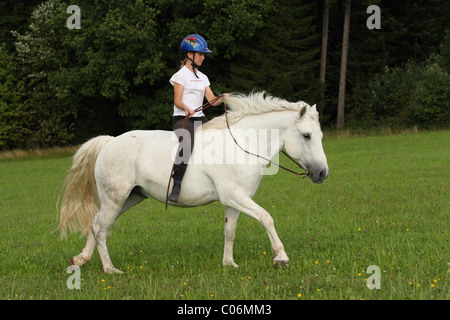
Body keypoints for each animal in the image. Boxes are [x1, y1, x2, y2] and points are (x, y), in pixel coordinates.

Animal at [58, 92, 328, 272]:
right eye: (307, 135)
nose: (322, 173)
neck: (243, 144)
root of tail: (109, 141)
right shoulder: (235, 196)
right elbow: (266, 217)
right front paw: (281, 257)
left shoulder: (234, 200)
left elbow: (230, 230)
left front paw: (229, 263)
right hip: (115, 198)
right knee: (100, 227)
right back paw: (109, 269)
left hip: (128, 198)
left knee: (96, 224)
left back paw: (80, 259)